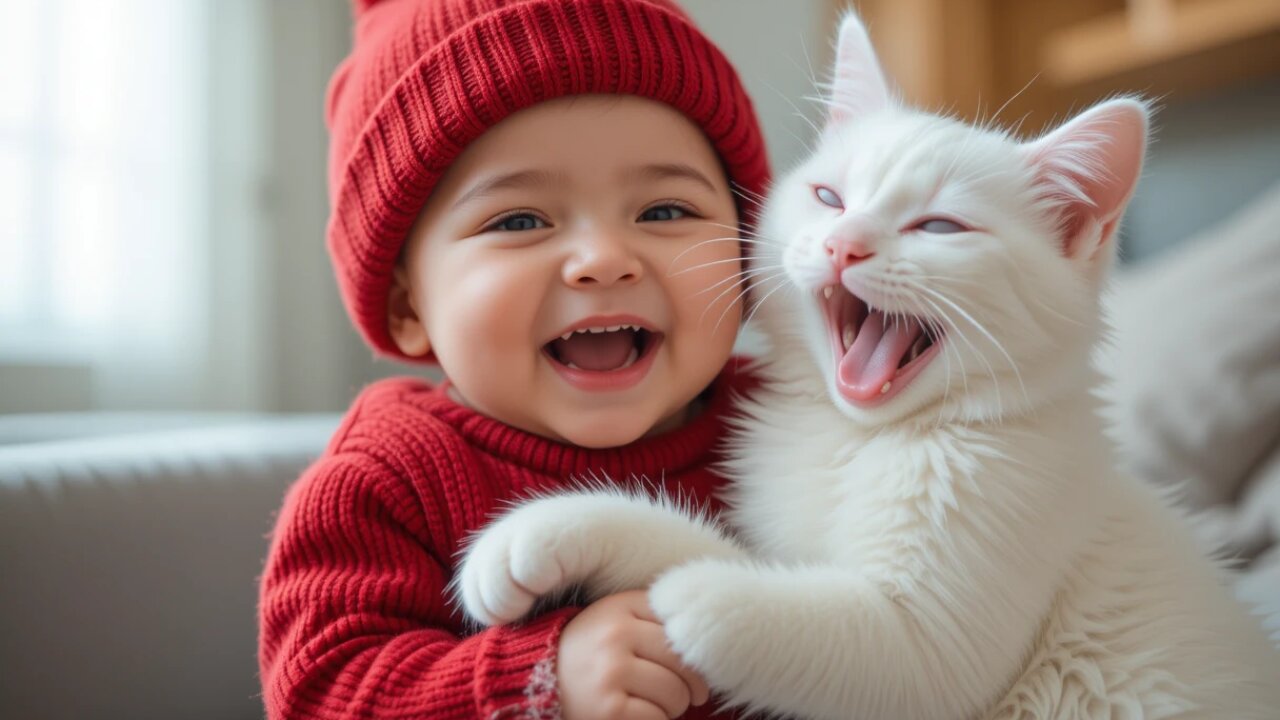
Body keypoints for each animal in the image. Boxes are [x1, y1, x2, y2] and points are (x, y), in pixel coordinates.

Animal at [455, 11, 1274, 717]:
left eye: (939, 227)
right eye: (828, 196)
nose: (844, 245)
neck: (857, 436)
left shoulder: (940, 626)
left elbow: (853, 640)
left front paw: (688, 599)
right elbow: (732, 553)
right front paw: (546, 535)